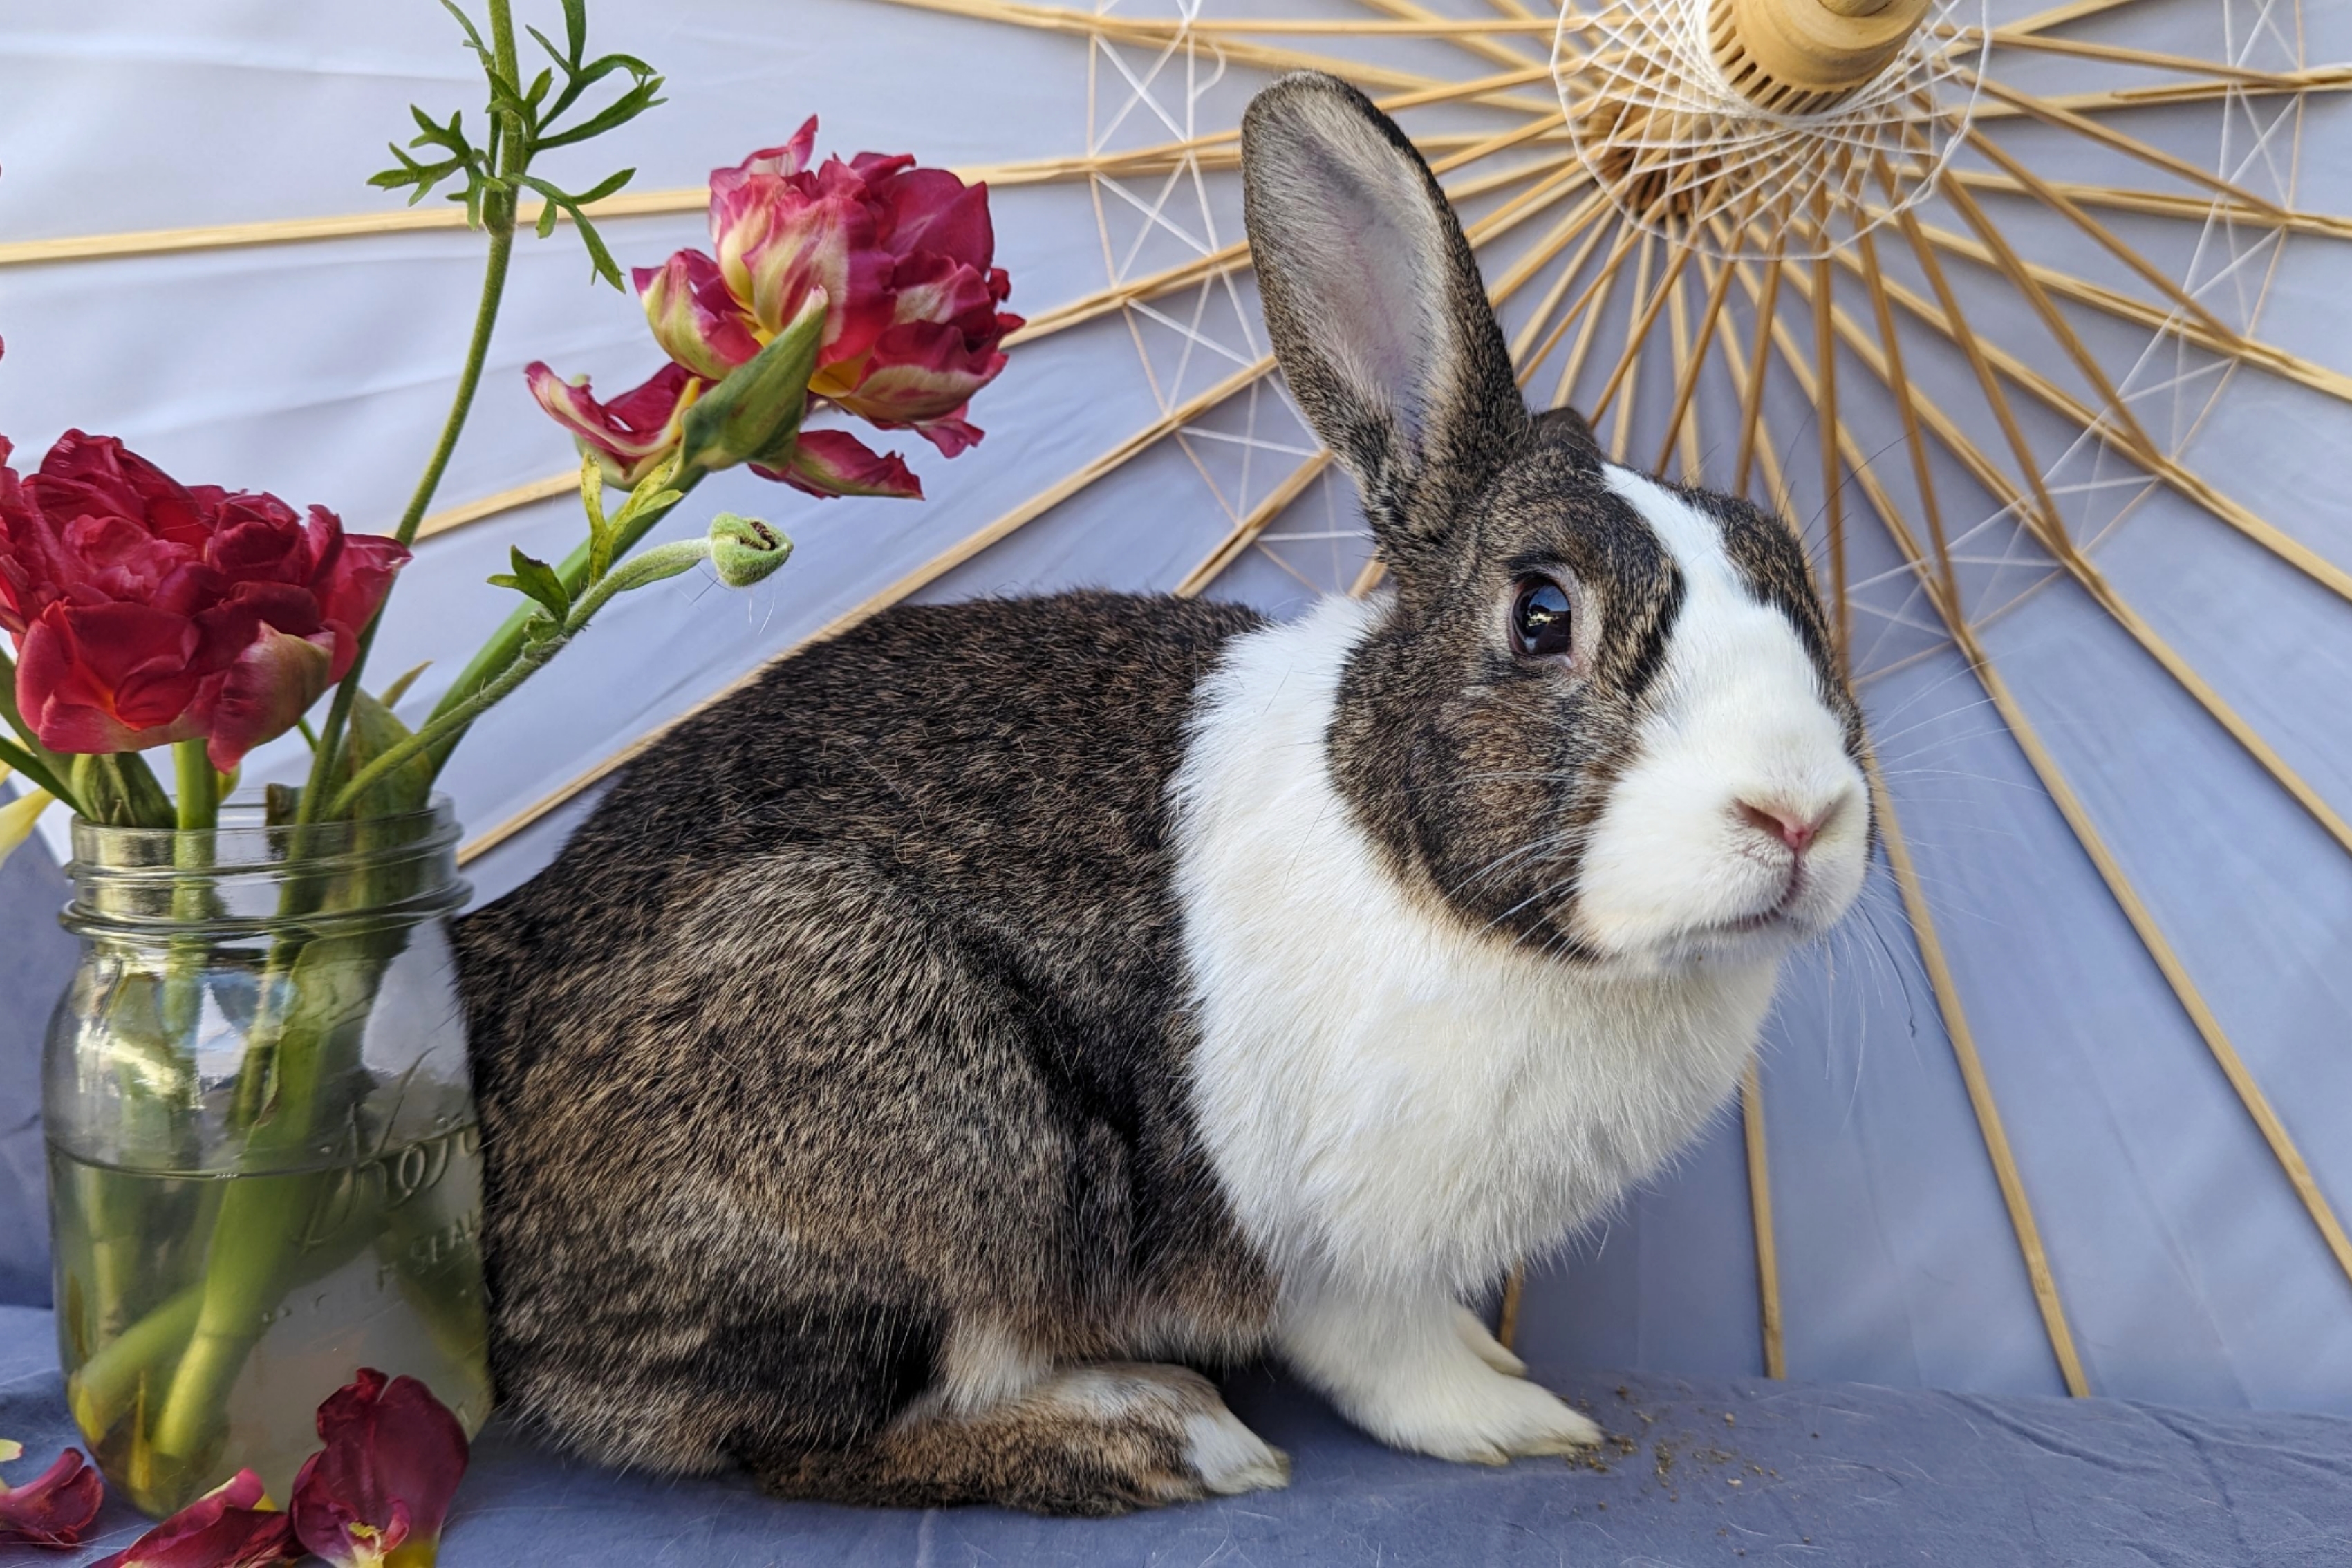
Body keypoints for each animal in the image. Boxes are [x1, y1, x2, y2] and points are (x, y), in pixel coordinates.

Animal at [454, 70, 1871, 1517]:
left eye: (1796, 583)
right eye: (1542, 614)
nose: (1797, 815)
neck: (1424, 874)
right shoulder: (1328, 1247)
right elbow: (1388, 1353)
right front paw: (1512, 1416)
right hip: (894, 1097)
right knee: (812, 1436)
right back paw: (1159, 1432)